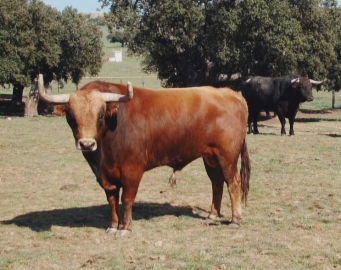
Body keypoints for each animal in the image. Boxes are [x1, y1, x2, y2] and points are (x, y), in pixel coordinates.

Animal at [37, 74, 250, 236]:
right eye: (71, 116)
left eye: (100, 115)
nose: (87, 144)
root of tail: (229, 93)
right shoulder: (105, 176)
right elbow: (112, 200)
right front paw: (113, 226)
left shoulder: (132, 170)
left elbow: (127, 199)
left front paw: (125, 228)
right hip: (211, 157)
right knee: (217, 183)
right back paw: (212, 216)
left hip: (227, 156)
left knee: (233, 183)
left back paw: (235, 219)